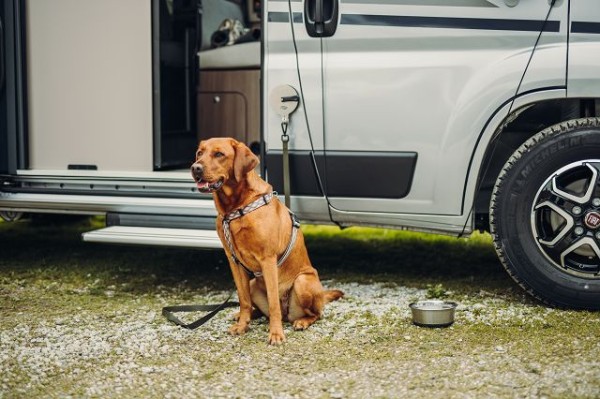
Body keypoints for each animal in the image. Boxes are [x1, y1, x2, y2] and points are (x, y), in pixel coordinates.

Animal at [191, 139, 342, 346]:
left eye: (219, 154)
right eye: (199, 153)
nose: (195, 168)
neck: (235, 207)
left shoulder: (267, 259)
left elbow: (273, 304)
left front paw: (276, 334)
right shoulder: (233, 261)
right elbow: (243, 300)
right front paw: (242, 325)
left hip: (302, 281)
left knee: (316, 314)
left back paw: (302, 321)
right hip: (254, 283)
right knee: (258, 309)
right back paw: (241, 316)